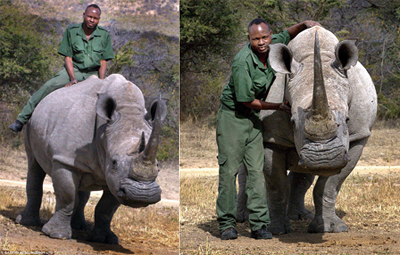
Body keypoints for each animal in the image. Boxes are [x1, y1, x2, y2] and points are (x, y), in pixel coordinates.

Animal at [16, 73, 166, 243]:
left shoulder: (117, 180)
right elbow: (68, 197)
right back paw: (26, 222)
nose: (142, 195)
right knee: (34, 165)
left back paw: (80, 227)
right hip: (31, 123)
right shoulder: (64, 160)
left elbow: (107, 207)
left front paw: (104, 239)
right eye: (114, 162)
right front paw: (57, 235)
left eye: (158, 166)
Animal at [239, 26, 376, 235]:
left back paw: (299, 216)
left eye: (347, 119)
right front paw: (276, 229)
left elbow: (330, 185)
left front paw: (330, 228)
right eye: (293, 121)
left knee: (304, 173)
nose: (324, 159)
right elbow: (276, 185)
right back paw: (243, 218)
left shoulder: (357, 136)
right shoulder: (273, 139)